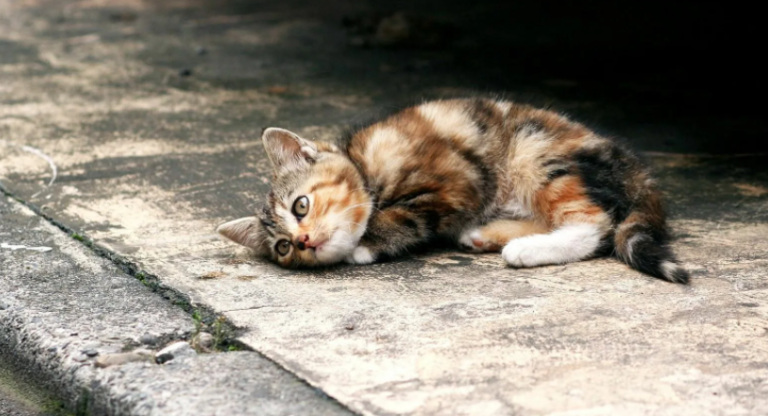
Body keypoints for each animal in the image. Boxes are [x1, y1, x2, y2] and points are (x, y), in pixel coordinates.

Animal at [216, 97, 688, 282]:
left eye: (301, 206)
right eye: (282, 248)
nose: (303, 241)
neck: (365, 165)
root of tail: (632, 164)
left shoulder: (458, 179)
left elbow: (407, 212)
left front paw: (364, 245)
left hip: (534, 150)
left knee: (596, 223)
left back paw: (526, 249)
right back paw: (487, 235)